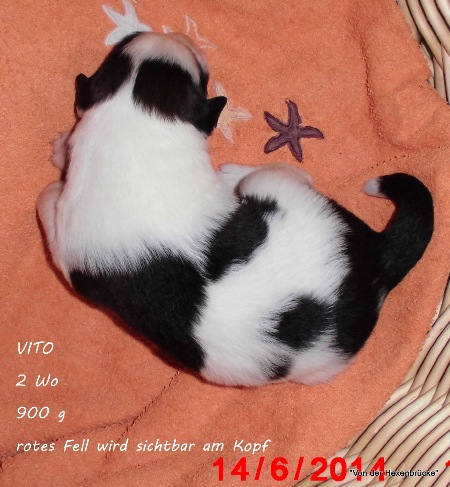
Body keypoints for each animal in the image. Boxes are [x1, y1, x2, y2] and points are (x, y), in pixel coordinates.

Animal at [37, 32, 433, 387]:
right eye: (122, 48)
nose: (176, 34)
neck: (132, 125)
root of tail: (378, 261)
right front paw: (62, 152)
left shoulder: (68, 253)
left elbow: (45, 199)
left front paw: (59, 166)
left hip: (273, 189)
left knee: (290, 173)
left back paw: (232, 173)